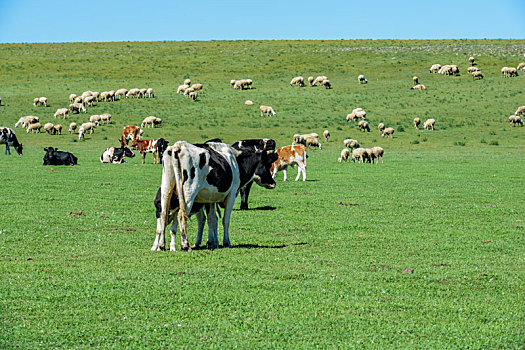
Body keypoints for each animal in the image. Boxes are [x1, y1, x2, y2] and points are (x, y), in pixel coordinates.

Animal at [150, 140, 278, 252]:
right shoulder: (231, 195)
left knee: (163, 214)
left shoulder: (210, 199)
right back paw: (185, 245)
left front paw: (211, 243)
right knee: (181, 215)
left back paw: (161, 245)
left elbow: (212, 219)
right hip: (188, 193)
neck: (235, 161)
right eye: (267, 165)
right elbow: (225, 220)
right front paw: (226, 242)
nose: (273, 183)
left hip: (166, 188)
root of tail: (179, 146)